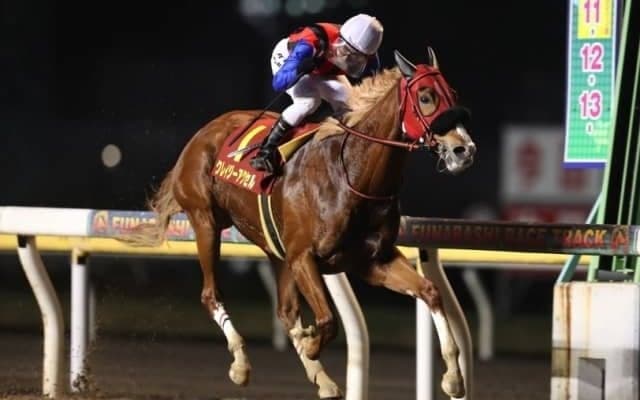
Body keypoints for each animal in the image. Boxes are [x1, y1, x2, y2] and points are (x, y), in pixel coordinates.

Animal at [122, 48, 476, 399]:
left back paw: (324, 380)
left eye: (454, 94)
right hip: (205, 221)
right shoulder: (305, 256)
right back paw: (241, 365)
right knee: (212, 294)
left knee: (286, 311)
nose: (464, 150)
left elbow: (430, 291)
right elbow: (328, 320)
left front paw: (453, 377)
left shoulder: (373, 261)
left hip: (275, 249)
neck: (354, 174)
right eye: (426, 96)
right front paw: (310, 343)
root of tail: (203, 133)